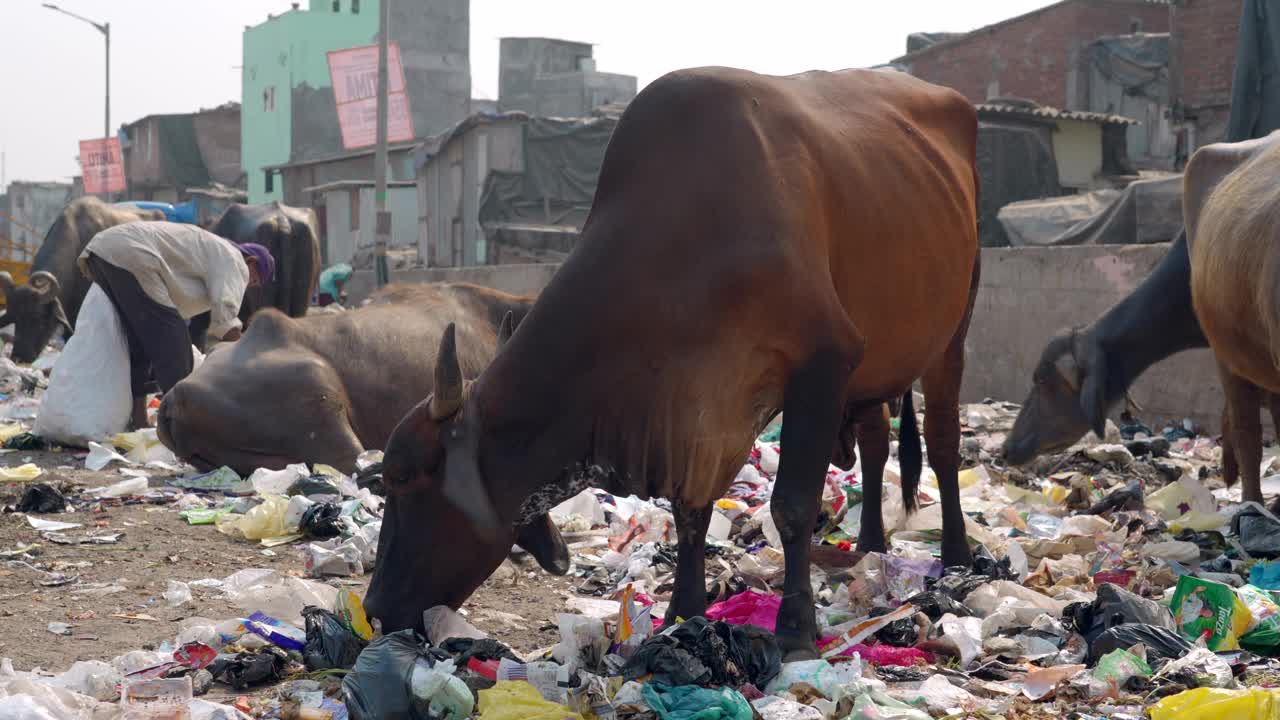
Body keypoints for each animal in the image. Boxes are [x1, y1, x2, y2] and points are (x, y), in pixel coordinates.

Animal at [366, 67, 983, 655]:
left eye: (401, 476)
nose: (372, 609)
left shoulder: (825, 362)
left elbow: (791, 506)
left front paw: (795, 631)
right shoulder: (698, 408)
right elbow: (691, 511)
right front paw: (683, 613)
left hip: (952, 332)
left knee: (943, 439)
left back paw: (955, 554)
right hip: (876, 368)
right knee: (877, 445)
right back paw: (871, 544)